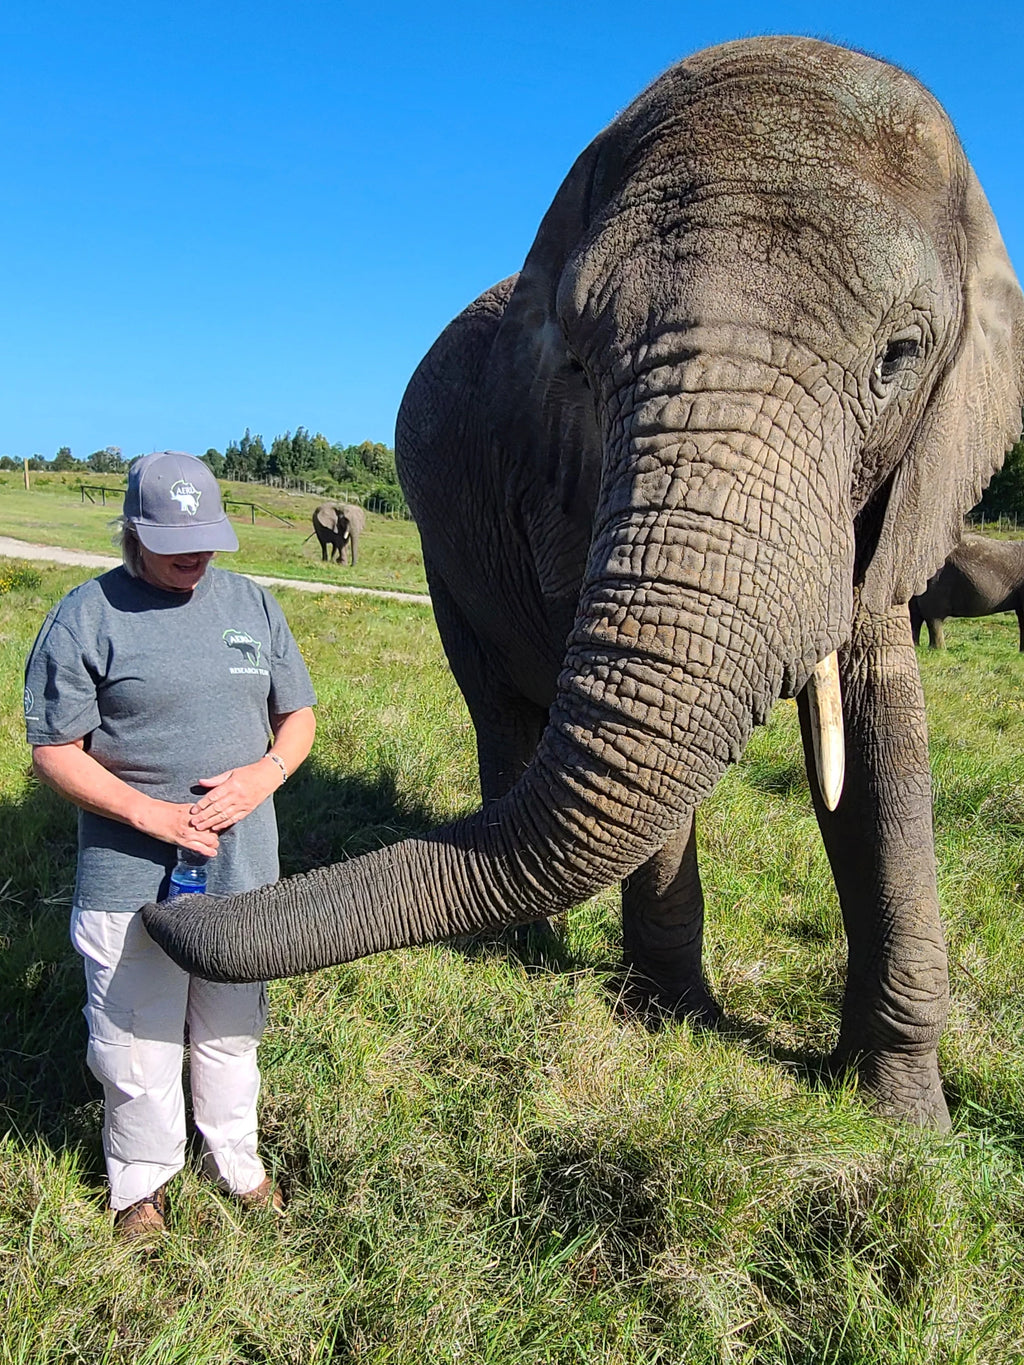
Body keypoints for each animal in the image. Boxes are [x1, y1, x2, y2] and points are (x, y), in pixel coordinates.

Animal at [144, 36, 1024, 1128]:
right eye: (581, 365)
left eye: (899, 359)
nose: (166, 898)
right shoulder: (557, 477)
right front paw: (673, 1020)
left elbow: (881, 738)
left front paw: (902, 1116)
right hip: (444, 551)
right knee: (498, 706)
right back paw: (524, 942)